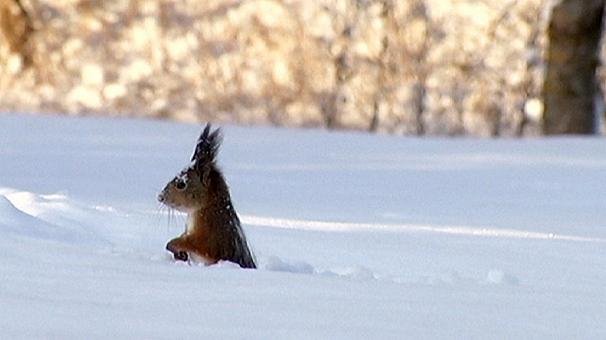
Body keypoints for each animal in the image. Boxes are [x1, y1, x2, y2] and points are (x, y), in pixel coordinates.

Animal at [159, 123, 256, 270]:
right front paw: (180, 254)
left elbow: (200, 246)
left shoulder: (211, 236)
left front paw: (173, 244)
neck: (205, 208)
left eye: (181, 184)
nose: (160, 197)